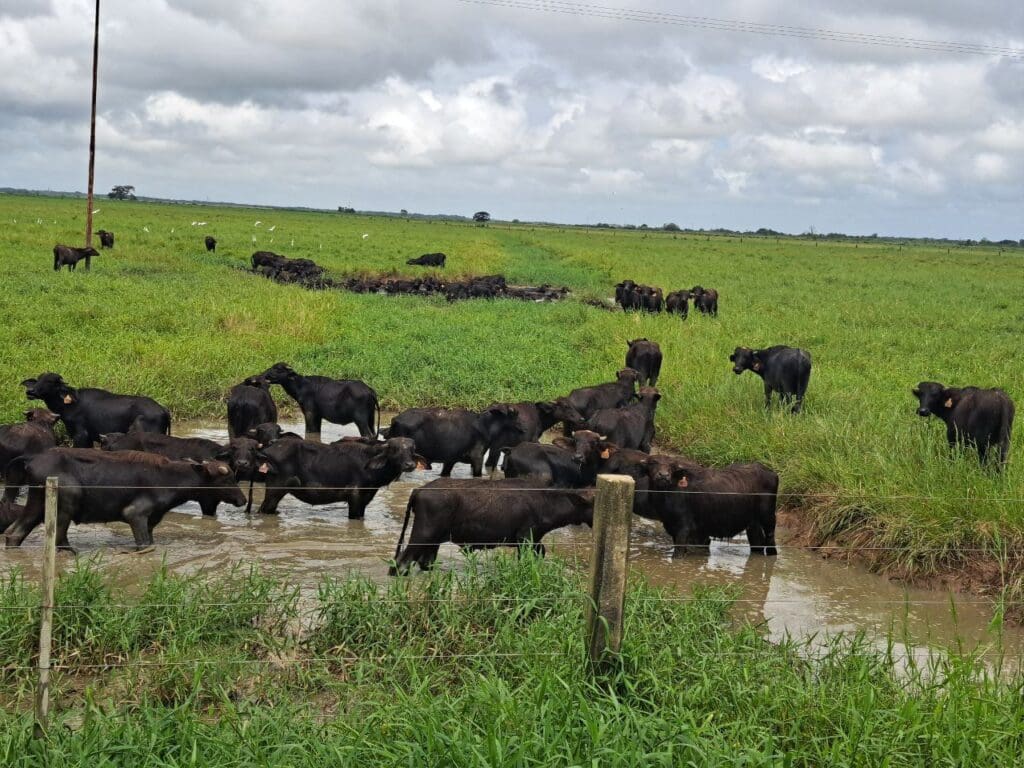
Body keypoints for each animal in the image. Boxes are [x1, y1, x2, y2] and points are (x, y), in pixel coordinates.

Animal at [22, 373, 170, 447]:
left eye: (50, 382)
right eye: (38, 380)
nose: (30, 391)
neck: (71, 405)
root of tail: (163, 409)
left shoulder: (81, 436)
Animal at [390, 478, 594, 574]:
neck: (547, 501)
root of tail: (419, 490)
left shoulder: (533, 540)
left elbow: (541, 552)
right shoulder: (525, 538)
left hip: (433, 541)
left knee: (424, 562)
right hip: (424, 534)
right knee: (402, 562)